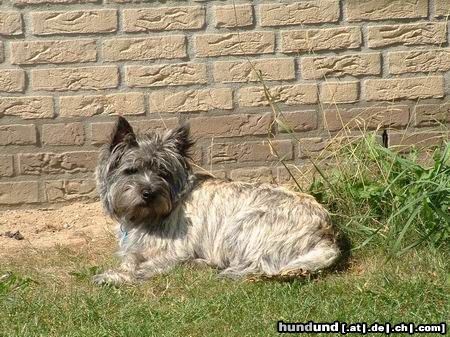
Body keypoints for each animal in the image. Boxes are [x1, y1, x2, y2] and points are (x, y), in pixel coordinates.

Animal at [94, 116, 342, 284]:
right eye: (131, 171)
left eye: (162, 173)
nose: (149, 193)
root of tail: (327, 233)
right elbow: (131, 258)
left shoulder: (174, 251)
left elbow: (142, 265)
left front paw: (113, 276)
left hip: (242, 225)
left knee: (259, 265)